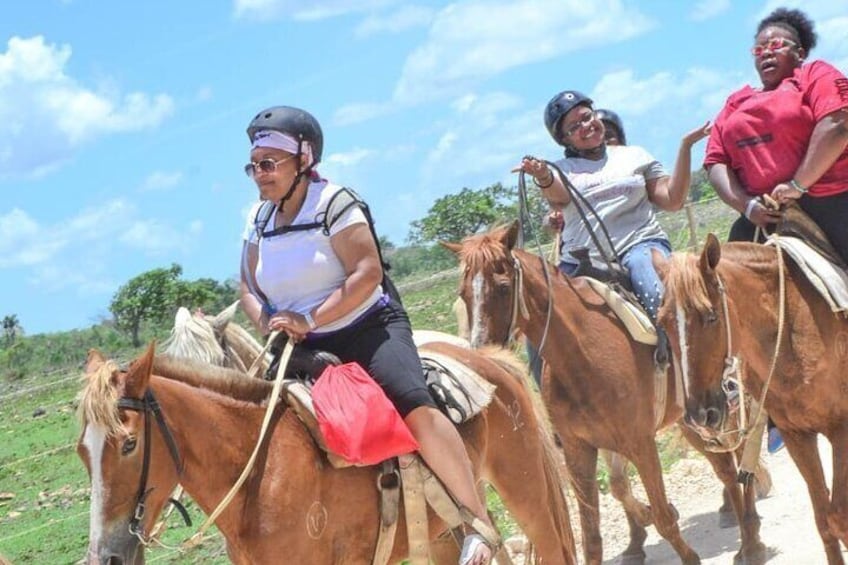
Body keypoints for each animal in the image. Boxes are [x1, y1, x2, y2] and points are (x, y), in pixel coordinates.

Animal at [76, 338, 576, 560]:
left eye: (130, 444)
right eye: (84, 453)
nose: (106, 555)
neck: (259, 474)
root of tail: (486, 357)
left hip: (527, 491)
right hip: (443, 529)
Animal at [448, 224, 764, 564]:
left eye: (504, 287)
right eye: (462, 293)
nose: (479, 354)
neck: (582, 355)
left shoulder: (640, 444)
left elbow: (663, 518)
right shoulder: (579, 451)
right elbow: (594, 533)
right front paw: (637, 535)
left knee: (733, 462)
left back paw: (750, 541)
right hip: (689, 419)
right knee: (725, 464)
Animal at [660, 231, 848, 560]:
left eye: (711, 316)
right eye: (662, 322)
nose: (700, 414)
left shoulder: (840, 428)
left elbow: (840, 516)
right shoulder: (797, 435)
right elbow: (825, 521)